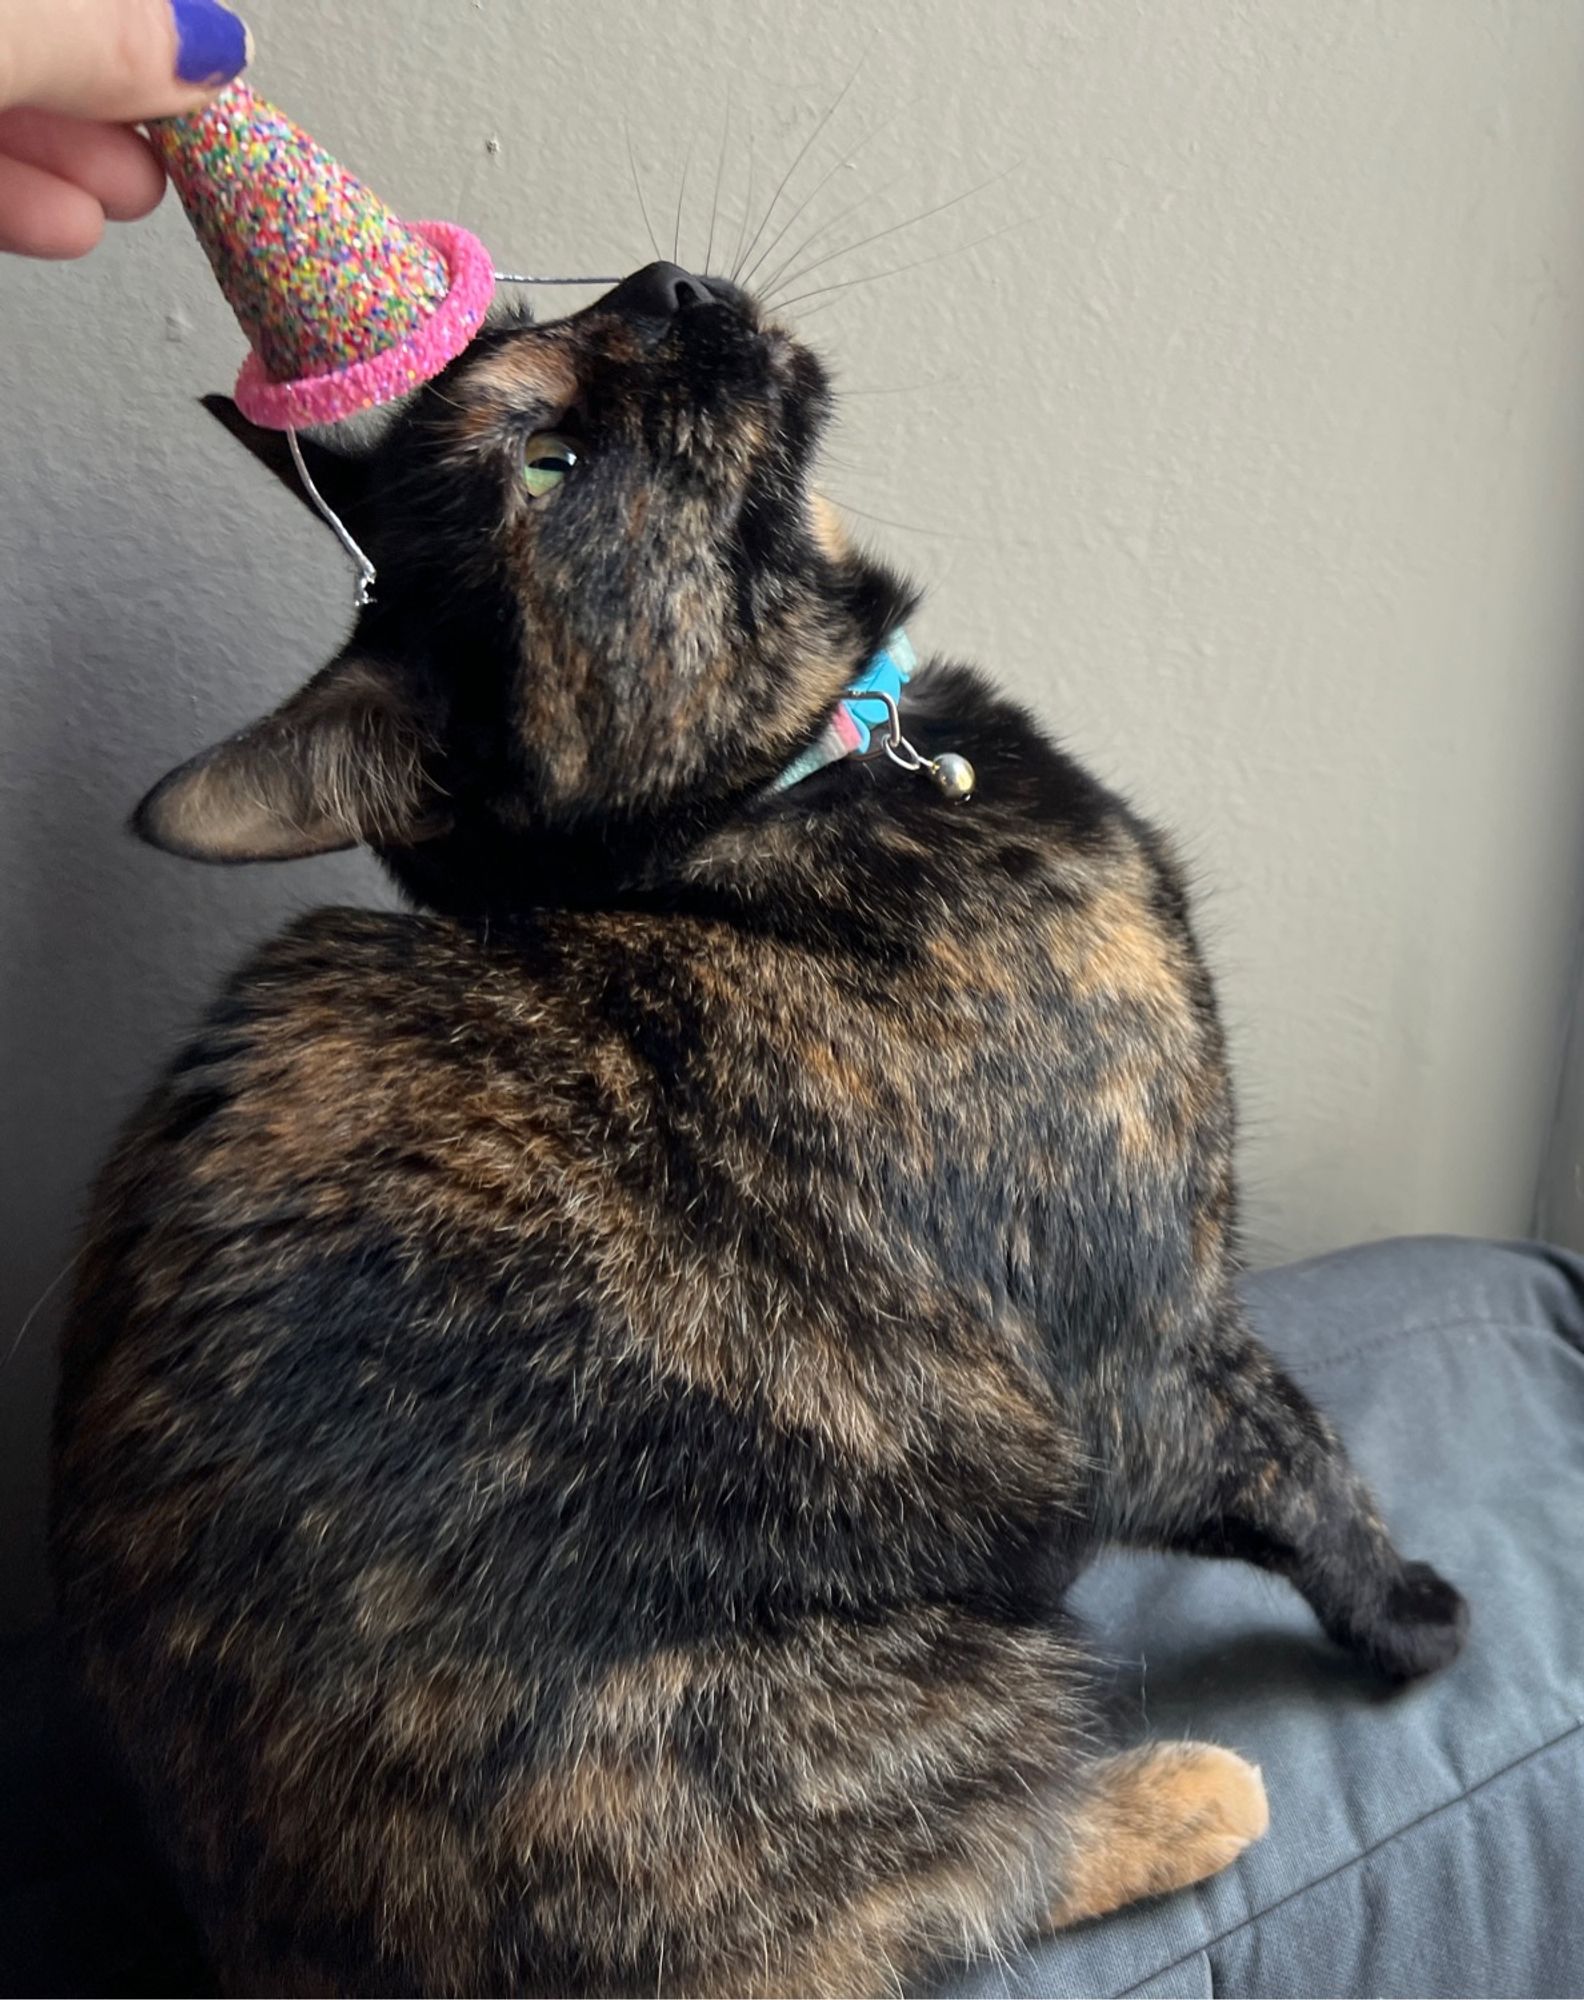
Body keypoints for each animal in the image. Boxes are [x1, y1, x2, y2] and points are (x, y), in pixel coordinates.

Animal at [52, 266, 1464, 2000]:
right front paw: (1417, 1618)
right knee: (939, 1880)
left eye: (531, 318)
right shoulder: (1146, 1350)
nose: (662, 288)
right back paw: (1188, 1790)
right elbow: (1308, 1468)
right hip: (857, 1693)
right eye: (545, 466)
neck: (774, 802)